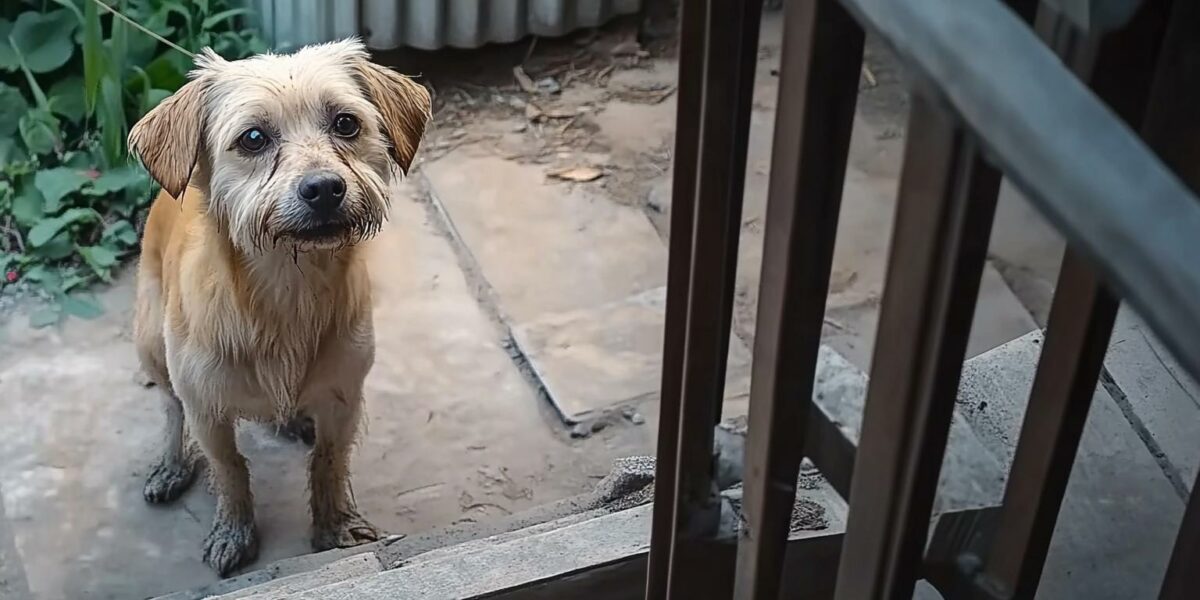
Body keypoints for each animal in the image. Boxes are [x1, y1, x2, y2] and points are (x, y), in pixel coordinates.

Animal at [126, 41, 432, 576]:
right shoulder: (207, 410)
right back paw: (173, 464)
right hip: (150, 345)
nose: (325, 188)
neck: (288, 288)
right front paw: (234, 531)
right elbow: (230, 470)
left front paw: (335, 527)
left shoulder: (344, 397)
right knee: (169, 407)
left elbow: (329, 463)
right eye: (252, 138)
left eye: (346, 123)